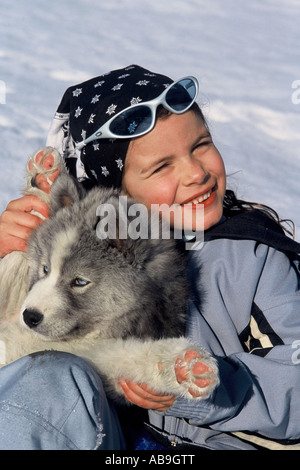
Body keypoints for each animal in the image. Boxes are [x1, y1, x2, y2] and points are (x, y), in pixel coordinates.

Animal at [0, 149, 220, 402]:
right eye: (45, 268)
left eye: (80, 281)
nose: (30, 316)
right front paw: (46, 178)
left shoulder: (92, 354)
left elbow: (128, 356)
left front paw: (183, 366)